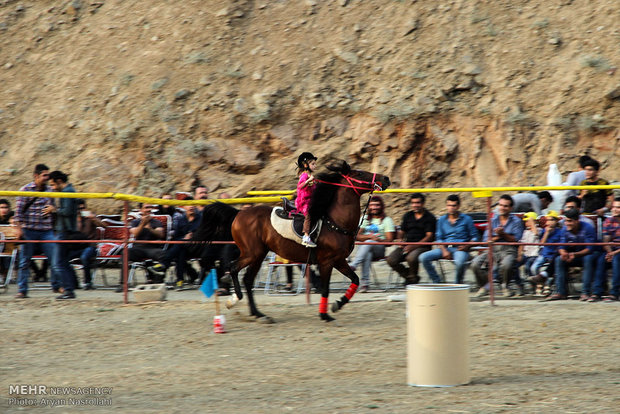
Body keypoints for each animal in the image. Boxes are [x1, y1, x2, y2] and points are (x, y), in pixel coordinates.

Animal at [194, 160, 390, 322]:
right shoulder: (327, 262)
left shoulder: (339, 260)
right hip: (252, 253)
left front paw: (338, 304)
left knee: (248, 279)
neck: (334, 221)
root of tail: (238, 213)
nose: (386, 178)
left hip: (258, 255)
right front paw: (324, 314)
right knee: (234, 268)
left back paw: (259, 314)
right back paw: (235, 300)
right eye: (359, 173)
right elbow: (326, 288)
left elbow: (355, 280)